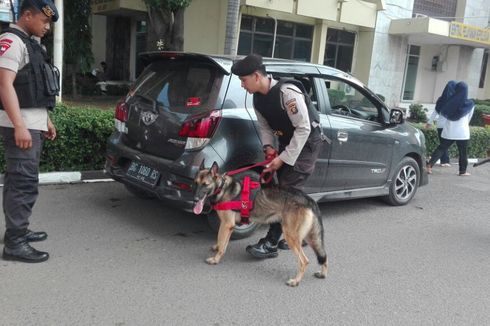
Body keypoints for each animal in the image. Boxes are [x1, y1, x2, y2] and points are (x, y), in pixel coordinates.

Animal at [192, 162, 330, 286]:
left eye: (205, 185)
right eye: (196, 183)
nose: (195, 199)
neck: (222, 187)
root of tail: (309, 199)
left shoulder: (226, 225)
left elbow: (221, 242)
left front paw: (215, 259)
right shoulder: (229, 227)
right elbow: (222, 244)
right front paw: (217, 250)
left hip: (291, 236)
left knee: (304, 261)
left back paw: (295, 281)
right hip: (310, 237)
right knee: (324, 255)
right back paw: (322, 273)